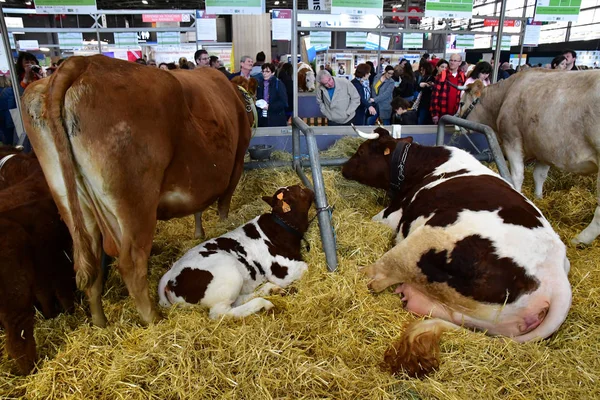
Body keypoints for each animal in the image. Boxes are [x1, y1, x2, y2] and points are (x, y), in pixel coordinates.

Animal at [21, 55, 253, 324]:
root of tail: (83, 62)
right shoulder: (236, 163)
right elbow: (223, 206)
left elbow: (199, 208)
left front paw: (199, 233)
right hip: (136, 203)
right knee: (131, 264)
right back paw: (153, 319)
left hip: (70, 201)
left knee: (91, 262)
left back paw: (100, 323)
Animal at [158, 185, 314, 318]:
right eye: (300, 191)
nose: (310, 189)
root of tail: (170, 275)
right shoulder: (281, 272)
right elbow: (306, 267)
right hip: (230, 276)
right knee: (221, 313)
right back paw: (263, 303)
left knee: (238, 300)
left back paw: (269, 290)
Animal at [342, 127, 572, 378]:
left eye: (361, 152)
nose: (343, 168)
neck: (421, 164)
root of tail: (556, 277)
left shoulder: (392, 214)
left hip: (428, 237)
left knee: (381, 275)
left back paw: (358, 273)